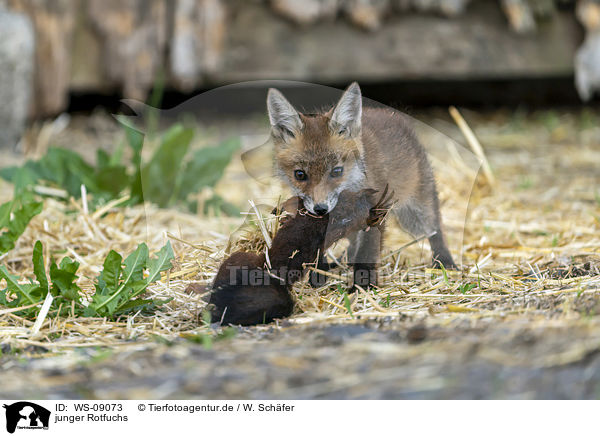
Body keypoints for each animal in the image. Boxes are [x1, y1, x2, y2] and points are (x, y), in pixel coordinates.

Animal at [266, 82, 454, 288]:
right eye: (300, 174)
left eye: (336, 171)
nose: (320, 209)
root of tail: (391, 114)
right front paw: (319, 274)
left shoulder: (374, 213)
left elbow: (367, 253)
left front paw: (362, 286)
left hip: (415, 214)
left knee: (435, 229)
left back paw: (445, 262)